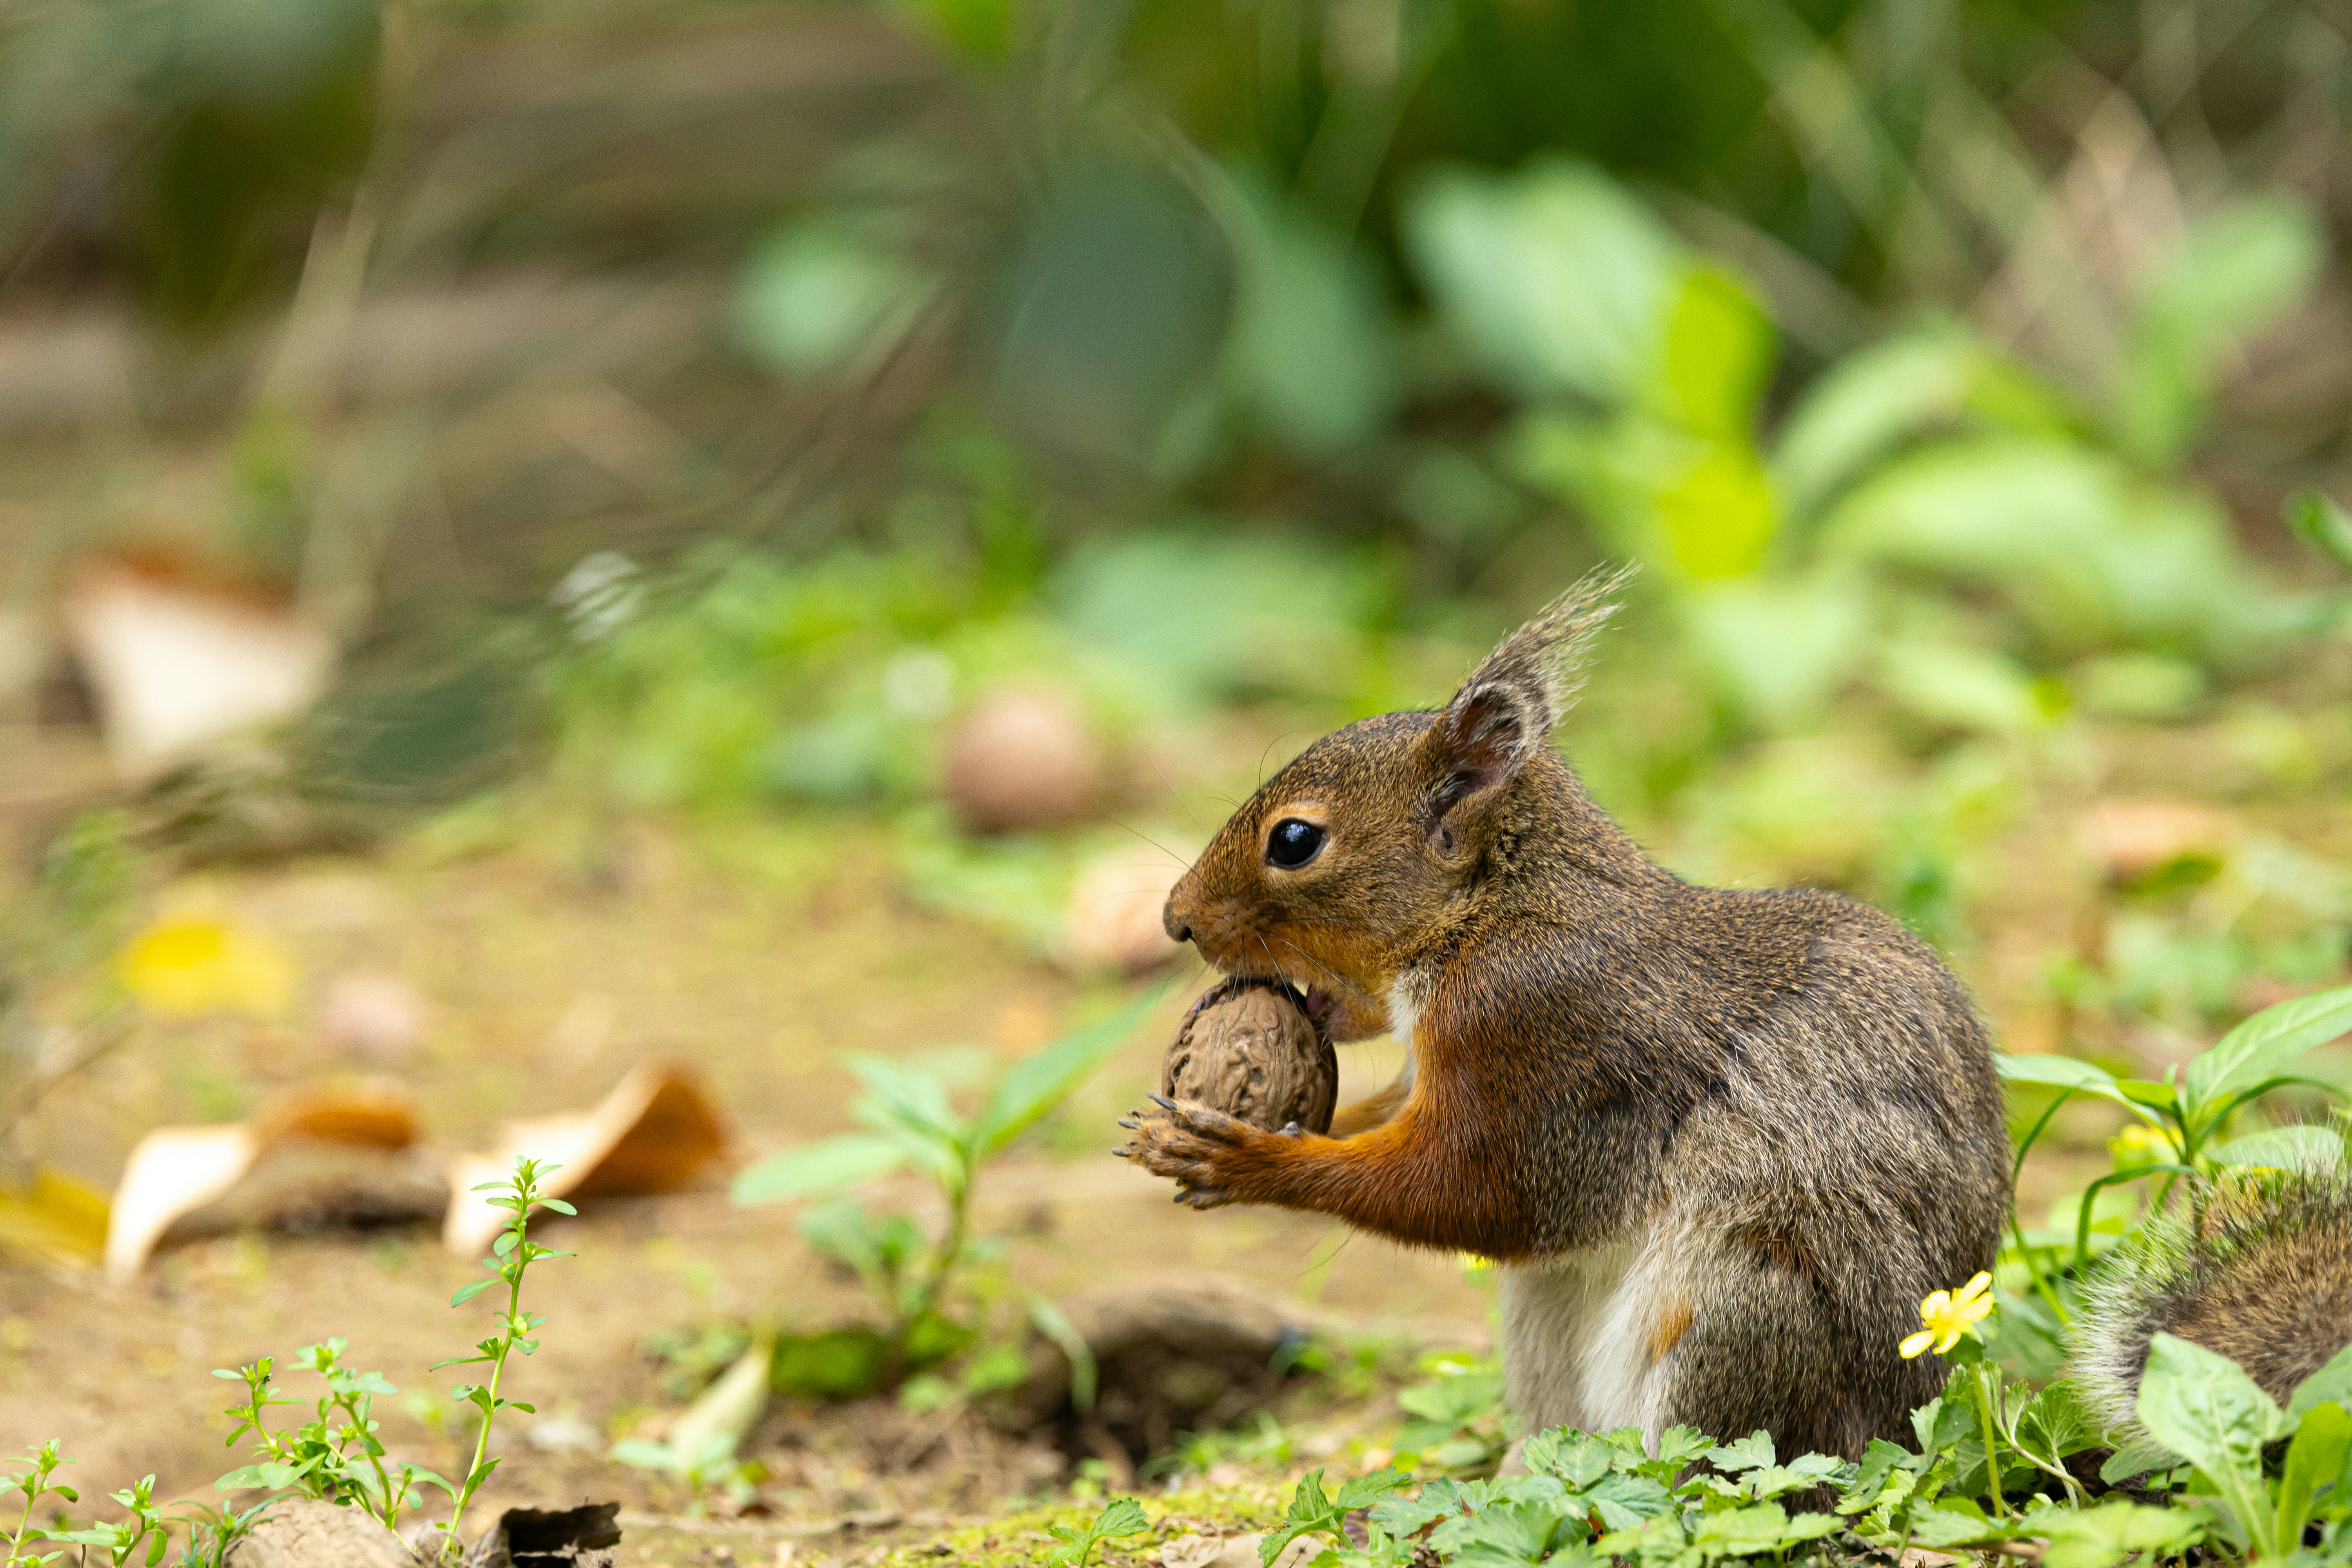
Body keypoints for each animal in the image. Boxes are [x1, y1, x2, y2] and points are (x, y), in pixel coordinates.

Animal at [1117, 568, 2013, 1460]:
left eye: (1296, 840)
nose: (1176, 919)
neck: (1494, 910)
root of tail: (1912, 1422)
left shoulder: (1537, 1037)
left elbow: (1470, 1194)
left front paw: (1244, 1158)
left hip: (1745, 1309)